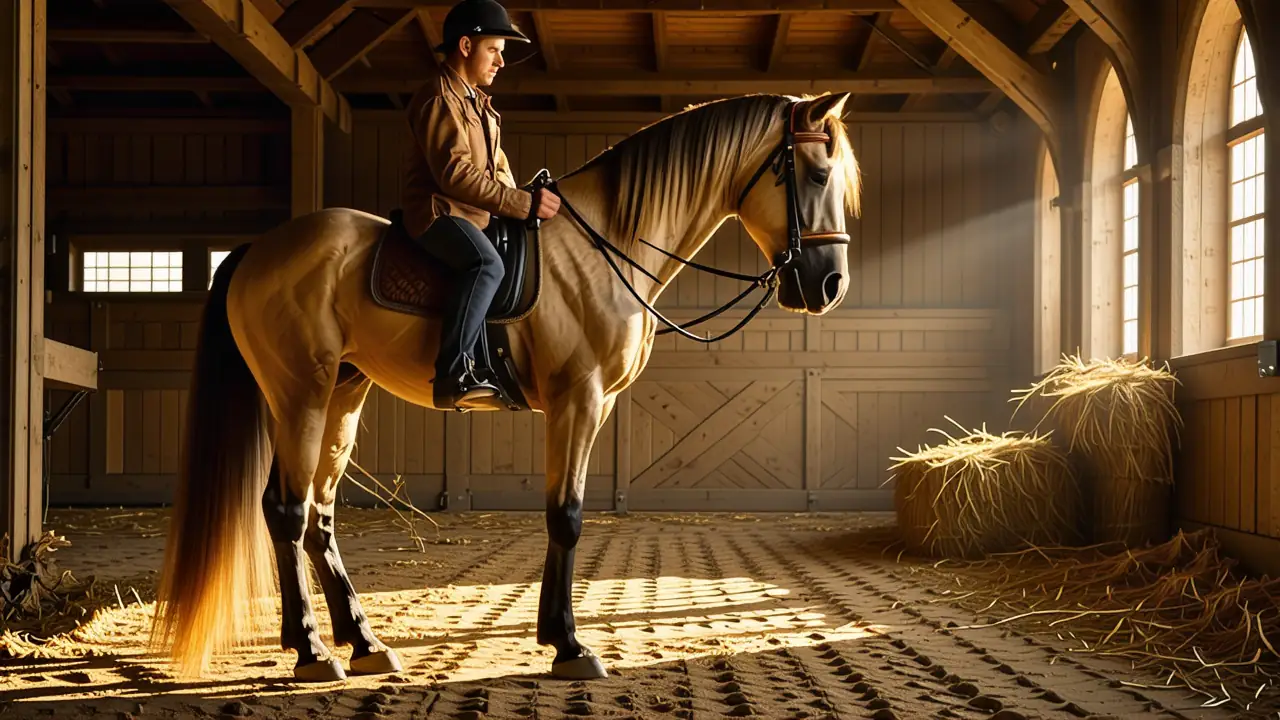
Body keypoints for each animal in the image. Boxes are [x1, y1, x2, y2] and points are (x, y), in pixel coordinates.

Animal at [147, 90, 862, 683]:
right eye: (816, 175)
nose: (829, 286)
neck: (607, 246)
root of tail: (259, 250)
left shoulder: (593, 405)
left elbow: (564, 513)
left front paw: (557, 637)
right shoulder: (579, 399)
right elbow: (566, 516)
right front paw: (570, 646)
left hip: (343, 396)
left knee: (320, 513)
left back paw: (365, 644)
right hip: (300, 393)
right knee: (288, 510)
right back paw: (312, 651)